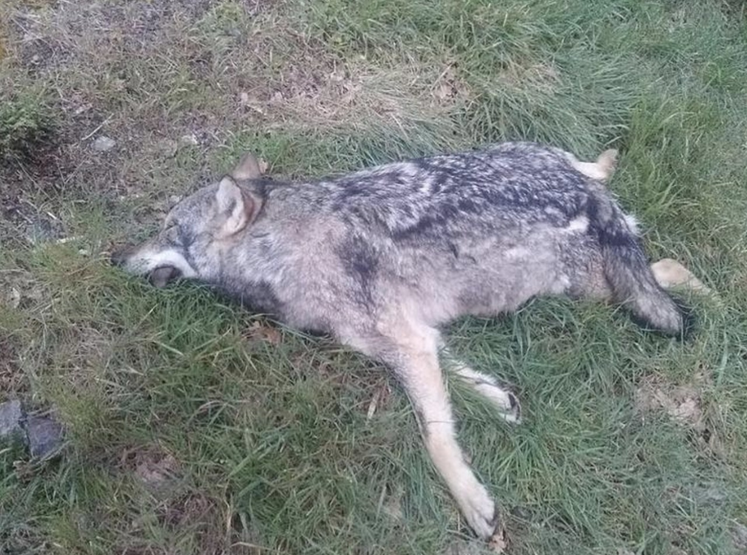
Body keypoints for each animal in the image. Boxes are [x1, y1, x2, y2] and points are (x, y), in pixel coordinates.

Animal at [112, 142, 689, 541]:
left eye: (168, 229)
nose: (116, 259)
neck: (282, 247)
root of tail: (578, 184)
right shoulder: (417, 336)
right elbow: (461, 375)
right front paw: (496, 398)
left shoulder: (405, 342)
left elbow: (435, 435)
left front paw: (472, 501)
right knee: (644, 235)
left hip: (578, 290)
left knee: (665, 268)